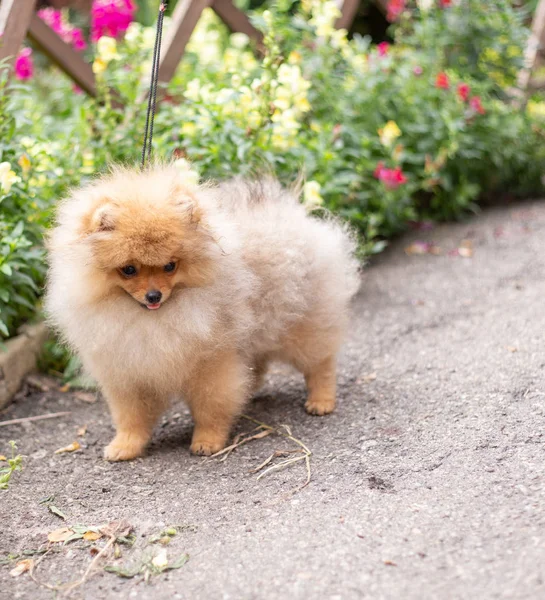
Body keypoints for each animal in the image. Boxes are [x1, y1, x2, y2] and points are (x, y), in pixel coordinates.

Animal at [46, 166, 360, 462]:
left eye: (170, 266)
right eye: (129, 269)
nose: (153, 296)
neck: (153, 320)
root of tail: (291, 214)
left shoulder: (211, 365)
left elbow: (212, 405)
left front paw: (208, 441)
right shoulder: (128, 373)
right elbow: (130, 417)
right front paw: (125, 445)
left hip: (303, 324)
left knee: (320, 362)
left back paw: (321, 400)